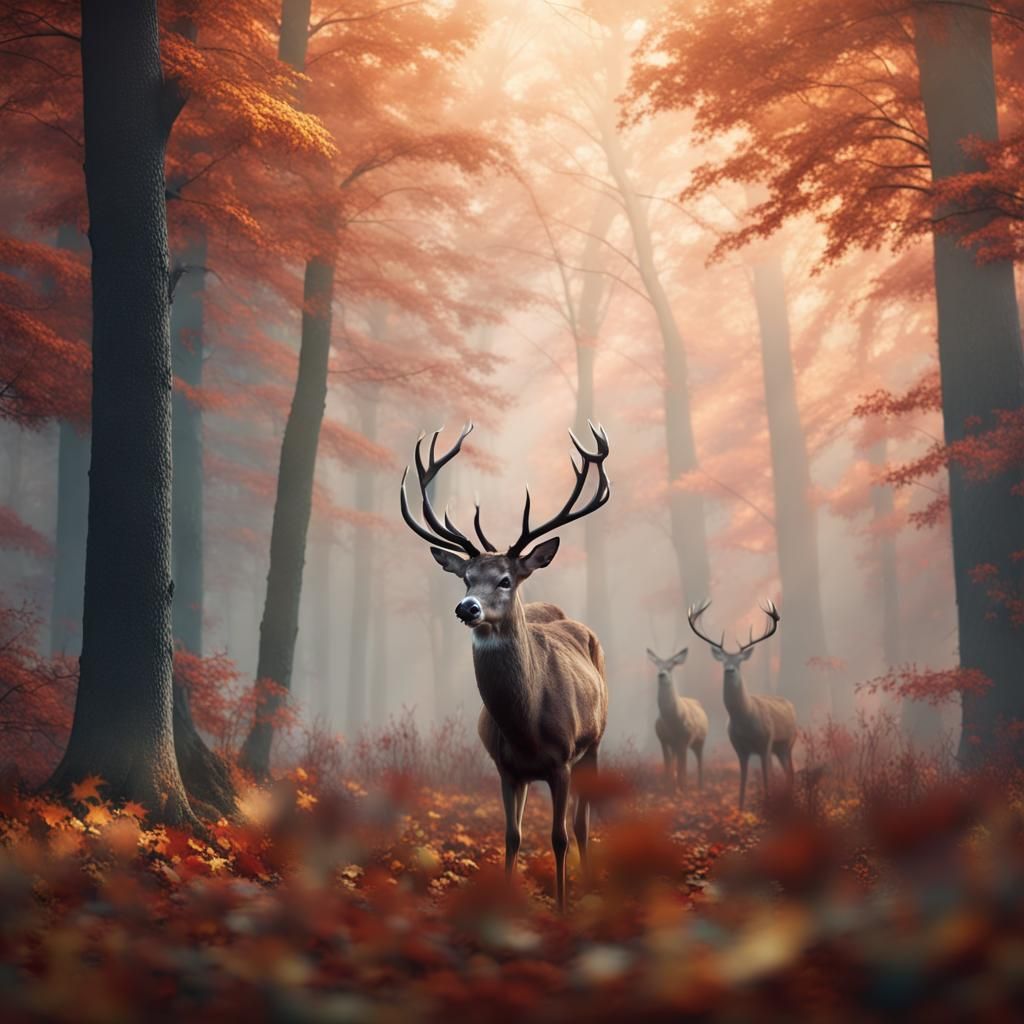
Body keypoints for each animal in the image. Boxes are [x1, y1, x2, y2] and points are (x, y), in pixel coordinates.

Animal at [400, 422, 610, 911]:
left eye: (505, 579)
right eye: (465, 577)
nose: (467, 608)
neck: (527, 727)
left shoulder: (562, 761)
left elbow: (559, 837)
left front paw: (562, 907)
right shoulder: (504, 767)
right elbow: (512, 837)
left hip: (595, 742)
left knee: (584, 826)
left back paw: (590, 885)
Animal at [646, 648, 708, 793]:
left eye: (671, 666)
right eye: (658, 665)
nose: (661, 674)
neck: (672, 722)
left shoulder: (685, 739)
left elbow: (682, 768)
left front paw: (683, 789)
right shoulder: (663, 739)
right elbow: (668, 765)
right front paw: (668, 788)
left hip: (700, 740)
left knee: (699, 761)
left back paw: (700, 787)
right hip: (676, 745)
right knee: (675, 762)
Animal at [687, 599, 796, 810]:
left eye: (739, 661)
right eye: (723, 661)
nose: (730, 670)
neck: (746, 719)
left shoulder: (765, 742)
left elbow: (766, 778)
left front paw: (766, 805)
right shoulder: (739, 747)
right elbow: (742, 781)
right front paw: (740, 809)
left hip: (788, 742)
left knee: (789, 772)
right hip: (778, 748)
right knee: (784, 771)